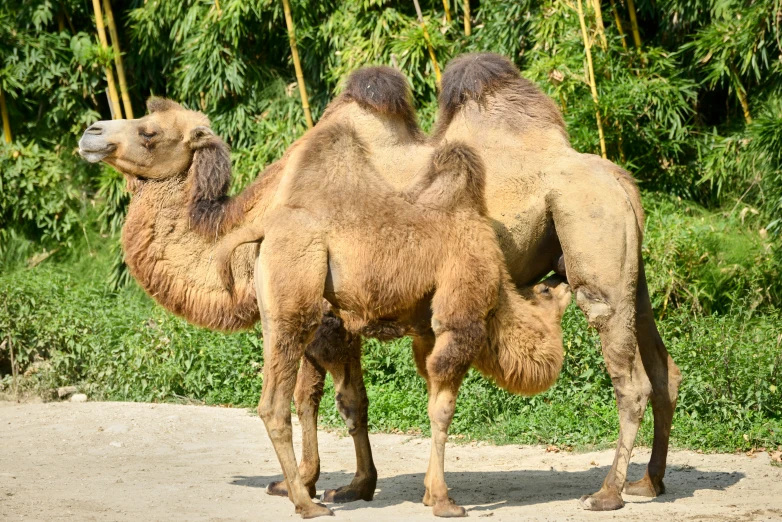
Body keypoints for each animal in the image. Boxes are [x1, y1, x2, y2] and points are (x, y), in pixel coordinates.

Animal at [217, 119, 572, 516]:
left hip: (275, 307)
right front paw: (444, 501)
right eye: (545, 292)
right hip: (296, 288)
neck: (499, 293)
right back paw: (306, 503)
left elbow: (431, 393)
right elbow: (444, 408)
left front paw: (430, 493)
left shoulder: (427, 333)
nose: (562, 274)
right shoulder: (461, 314)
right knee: (275, 403)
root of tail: (263, 229)